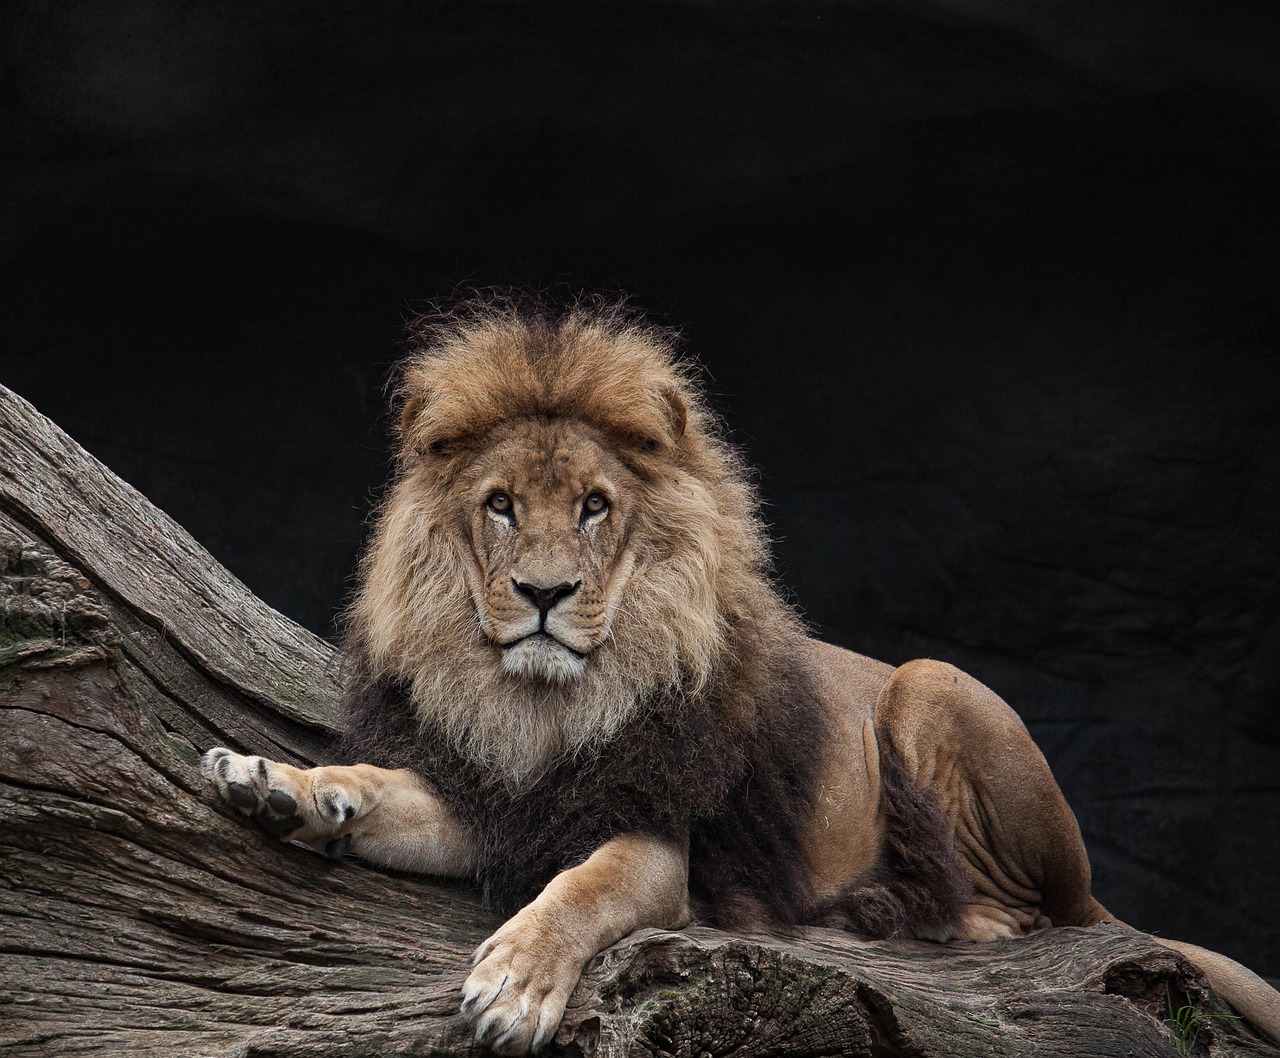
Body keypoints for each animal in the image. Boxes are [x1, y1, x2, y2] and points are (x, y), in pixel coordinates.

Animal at [202, 300, 1280, 1055]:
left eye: (595, 506)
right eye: (500, 504)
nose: (544, 593)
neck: (543, 704)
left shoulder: (652, 838)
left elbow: (582, 890)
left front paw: (515, 983)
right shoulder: (508, 802)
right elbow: (384, 788)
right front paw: (280, 785)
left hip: (932, 687)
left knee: (1024, 914)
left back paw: (893, 913)